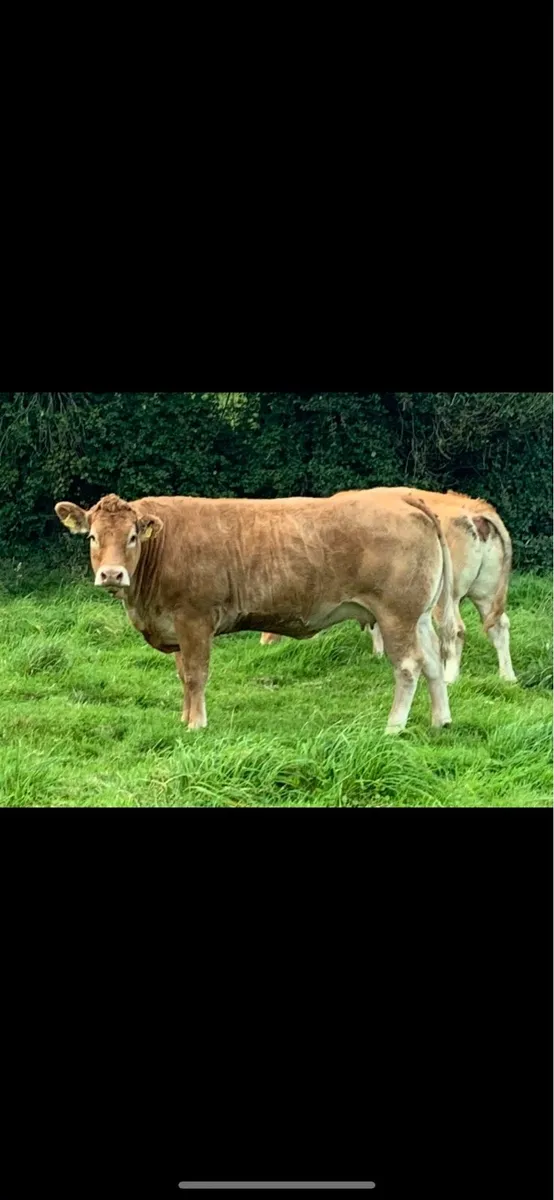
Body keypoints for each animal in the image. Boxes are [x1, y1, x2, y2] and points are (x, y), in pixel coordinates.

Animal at [54, 490, 458, 734]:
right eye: (92, 537)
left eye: (132, 537)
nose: (111, 574)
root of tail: (401, 496)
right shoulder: (176, 627)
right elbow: (183, 675)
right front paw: (185, 717)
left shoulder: (194, 620)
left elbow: (196, 675)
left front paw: (197, 724)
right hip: (418, 616)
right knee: (433, 663)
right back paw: (440, 720)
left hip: (396, 615)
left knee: (408, 667)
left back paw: (394, 726)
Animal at [259, 487, 516, 684]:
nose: (264, 642)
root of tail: (475, 510)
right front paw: (379, 655)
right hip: (486, 593)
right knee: (499, 626)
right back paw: (507, 677)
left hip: (446, 597)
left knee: (455, 630)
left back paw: (450, 677)